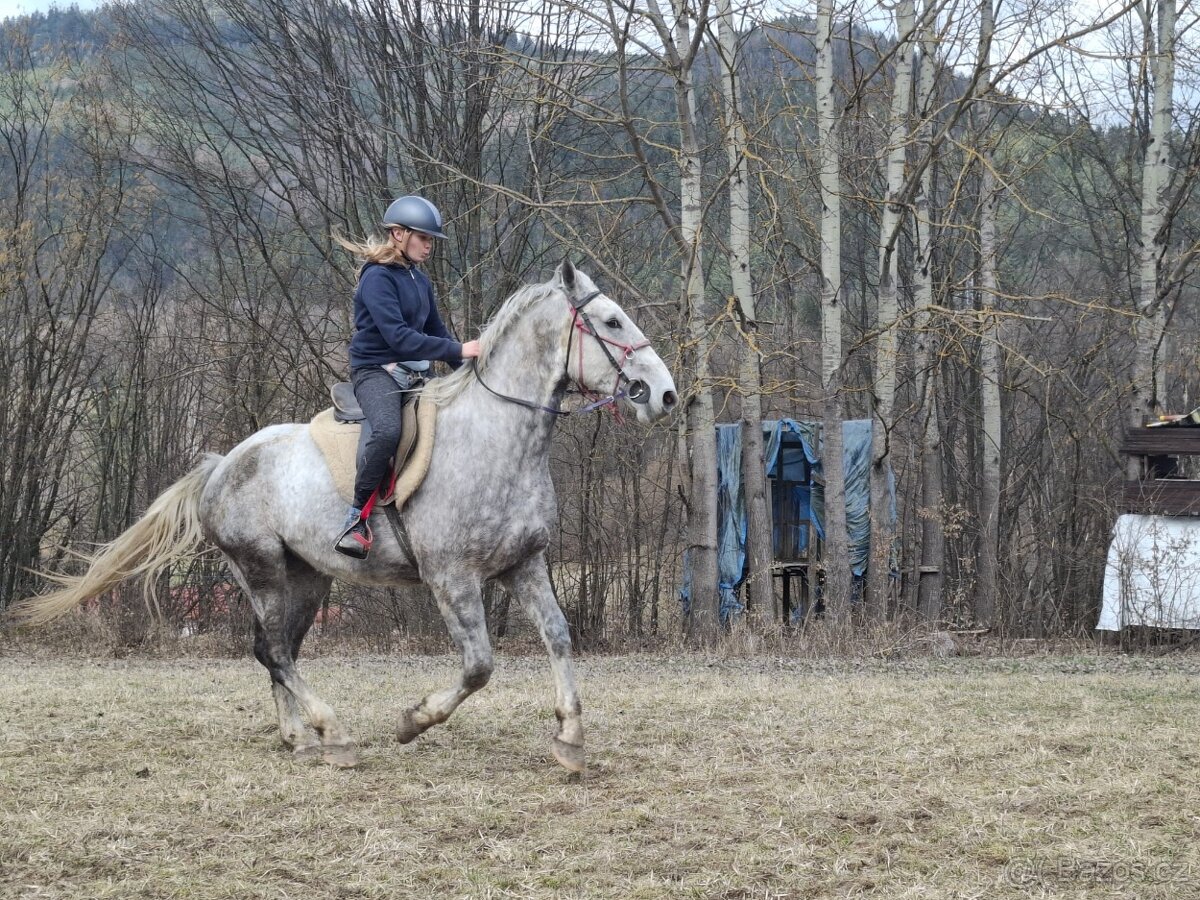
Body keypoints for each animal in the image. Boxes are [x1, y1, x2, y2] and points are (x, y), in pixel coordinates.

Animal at [14, 262, 676, 777]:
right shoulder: (452, 579)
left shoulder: (524, 563)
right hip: (261, 570)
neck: (499, 438)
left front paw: (570, 739)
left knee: (274, 649)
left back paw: (298, 738)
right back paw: (331, 735)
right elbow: (479, 666)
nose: (663, 395)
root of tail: (223, 463)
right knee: (276, 651)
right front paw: (413, 722)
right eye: (612, 322)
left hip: (306, 577)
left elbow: (559, 637)